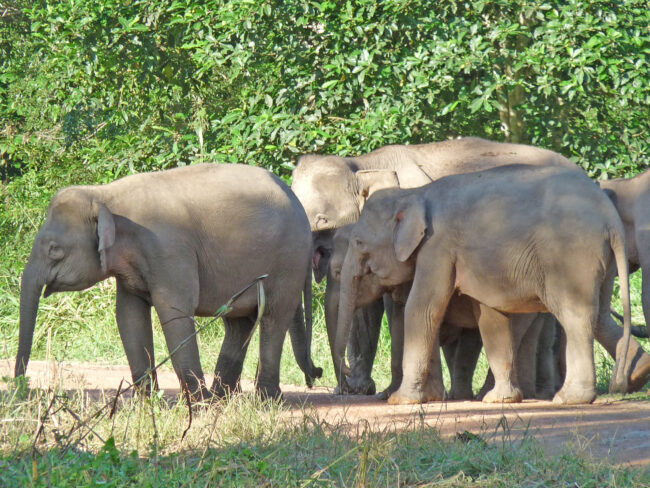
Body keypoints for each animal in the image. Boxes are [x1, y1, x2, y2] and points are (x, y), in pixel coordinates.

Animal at [15, 163, 322, 400]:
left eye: (54, 250)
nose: (21, 389)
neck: (104, 195)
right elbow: (129, 317)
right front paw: (147, 403)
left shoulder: (169, 249)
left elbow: (174, 312)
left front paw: (197, 404)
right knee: (239, 324)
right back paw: (222, 398)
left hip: (288, 262)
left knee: (273, 318)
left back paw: (263, 400)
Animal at [335, 164, 634, 405]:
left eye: (359, 243)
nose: (347, 375)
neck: (414, 193)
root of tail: (610, 218)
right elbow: (490, 318)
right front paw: (499, 400)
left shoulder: (438, 246)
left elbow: (421, 309)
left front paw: (402, 401)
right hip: (602, 261)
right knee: (599, 314)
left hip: (571, 256)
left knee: (575, 316)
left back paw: (568, 399)